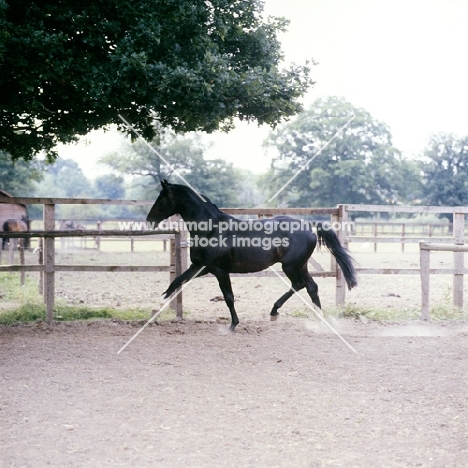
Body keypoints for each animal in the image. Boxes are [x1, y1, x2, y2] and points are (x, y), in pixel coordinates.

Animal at [147, 180, 358, 332]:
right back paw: (318, 321)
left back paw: (275, 312)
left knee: (299, 284)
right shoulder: (200, 267)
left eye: (162, 198)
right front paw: (158, 304)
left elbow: (228, 297)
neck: (211, 229)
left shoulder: (219, 270)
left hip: (290, 266)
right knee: (311, 287)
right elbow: (176, 281)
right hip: (301, 265)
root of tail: (309, 225)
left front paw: (232, 326)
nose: (149, 220)